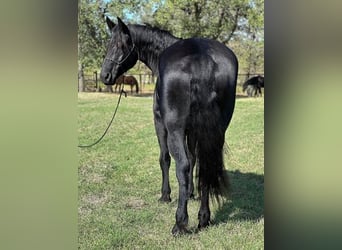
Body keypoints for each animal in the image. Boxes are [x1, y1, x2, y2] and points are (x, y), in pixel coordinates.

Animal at [99, 16, 238, 235]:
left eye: (119, 45)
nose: (104, 76)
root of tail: (202, 57)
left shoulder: (160, 124)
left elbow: (165, 158)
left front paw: (165, 195)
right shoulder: (194, 130)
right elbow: (194, 158)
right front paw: (190, 193)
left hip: (174, 129)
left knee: (181, 165)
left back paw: (180, 223)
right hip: (218, 131)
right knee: (205, 165)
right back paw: (204, 218)